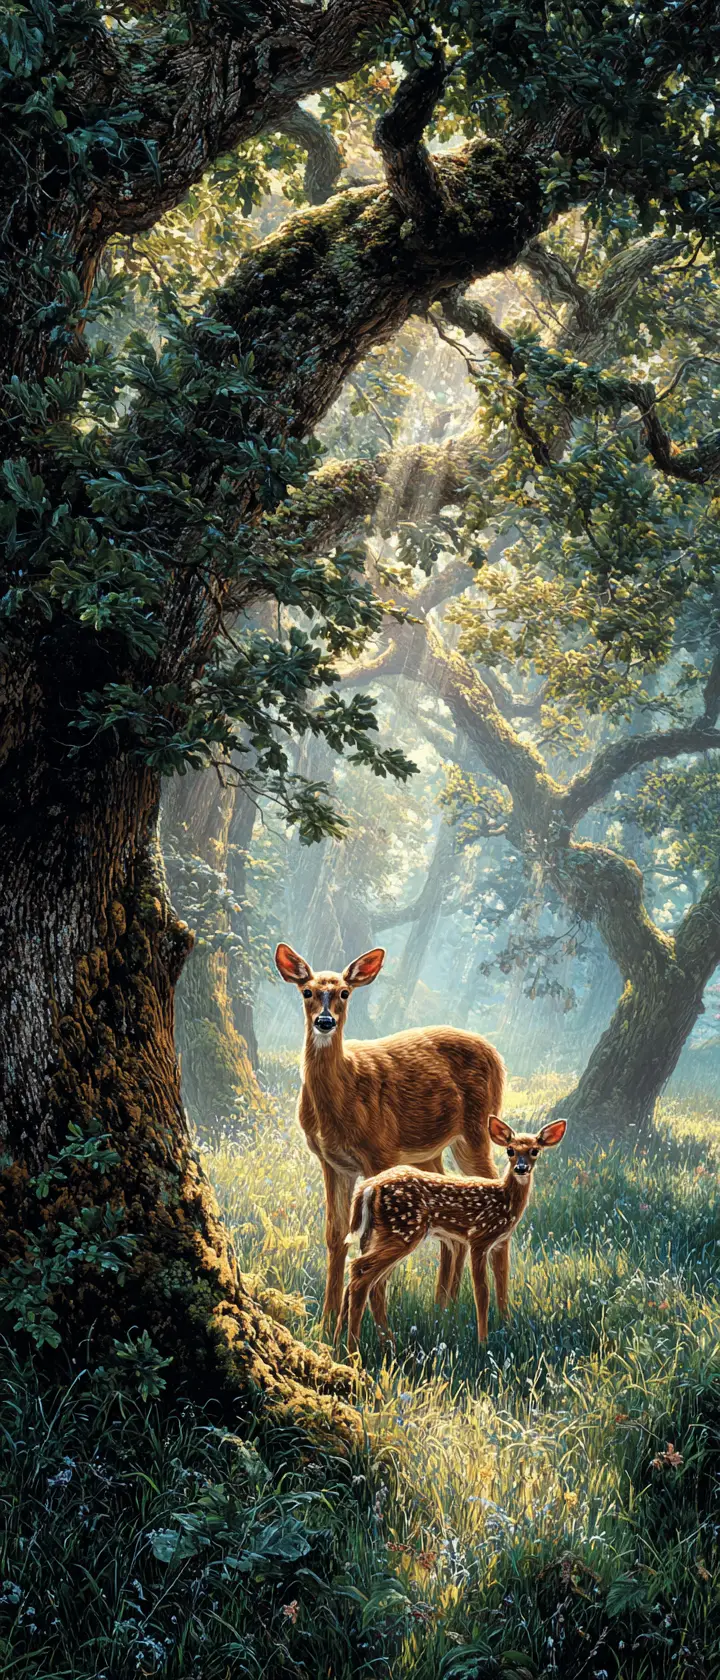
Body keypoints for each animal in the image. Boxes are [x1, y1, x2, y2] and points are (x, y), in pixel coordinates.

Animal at [274, 941, 506, 1333]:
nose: (325, 1021)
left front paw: (371, 1328)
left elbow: (367, 1241)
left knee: (493, 1189)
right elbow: (336, 1235)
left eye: (344, 992)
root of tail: (495, 1053)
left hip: (475, 1130)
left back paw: (501, 1313)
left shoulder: (379, 1151)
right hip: (428, 1153)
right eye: (307, 991)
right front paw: (326, 1324)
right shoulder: (332, 1162)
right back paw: (442, 1307)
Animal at [337, 1115, 567, 1353]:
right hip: (402, 1230)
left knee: (368, 1279)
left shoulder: (500, 1243)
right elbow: (482, 1292)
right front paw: (483, 1342)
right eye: (510, 1150)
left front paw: (509, 1329)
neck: (505, 1200)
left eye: (535, 1150)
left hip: (376, 1234)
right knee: (361, 1272)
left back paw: (351, 1343)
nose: (521, 1168)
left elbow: (502, 1287)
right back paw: (353, 1350)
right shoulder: (479, 1238)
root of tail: (369, 1185)